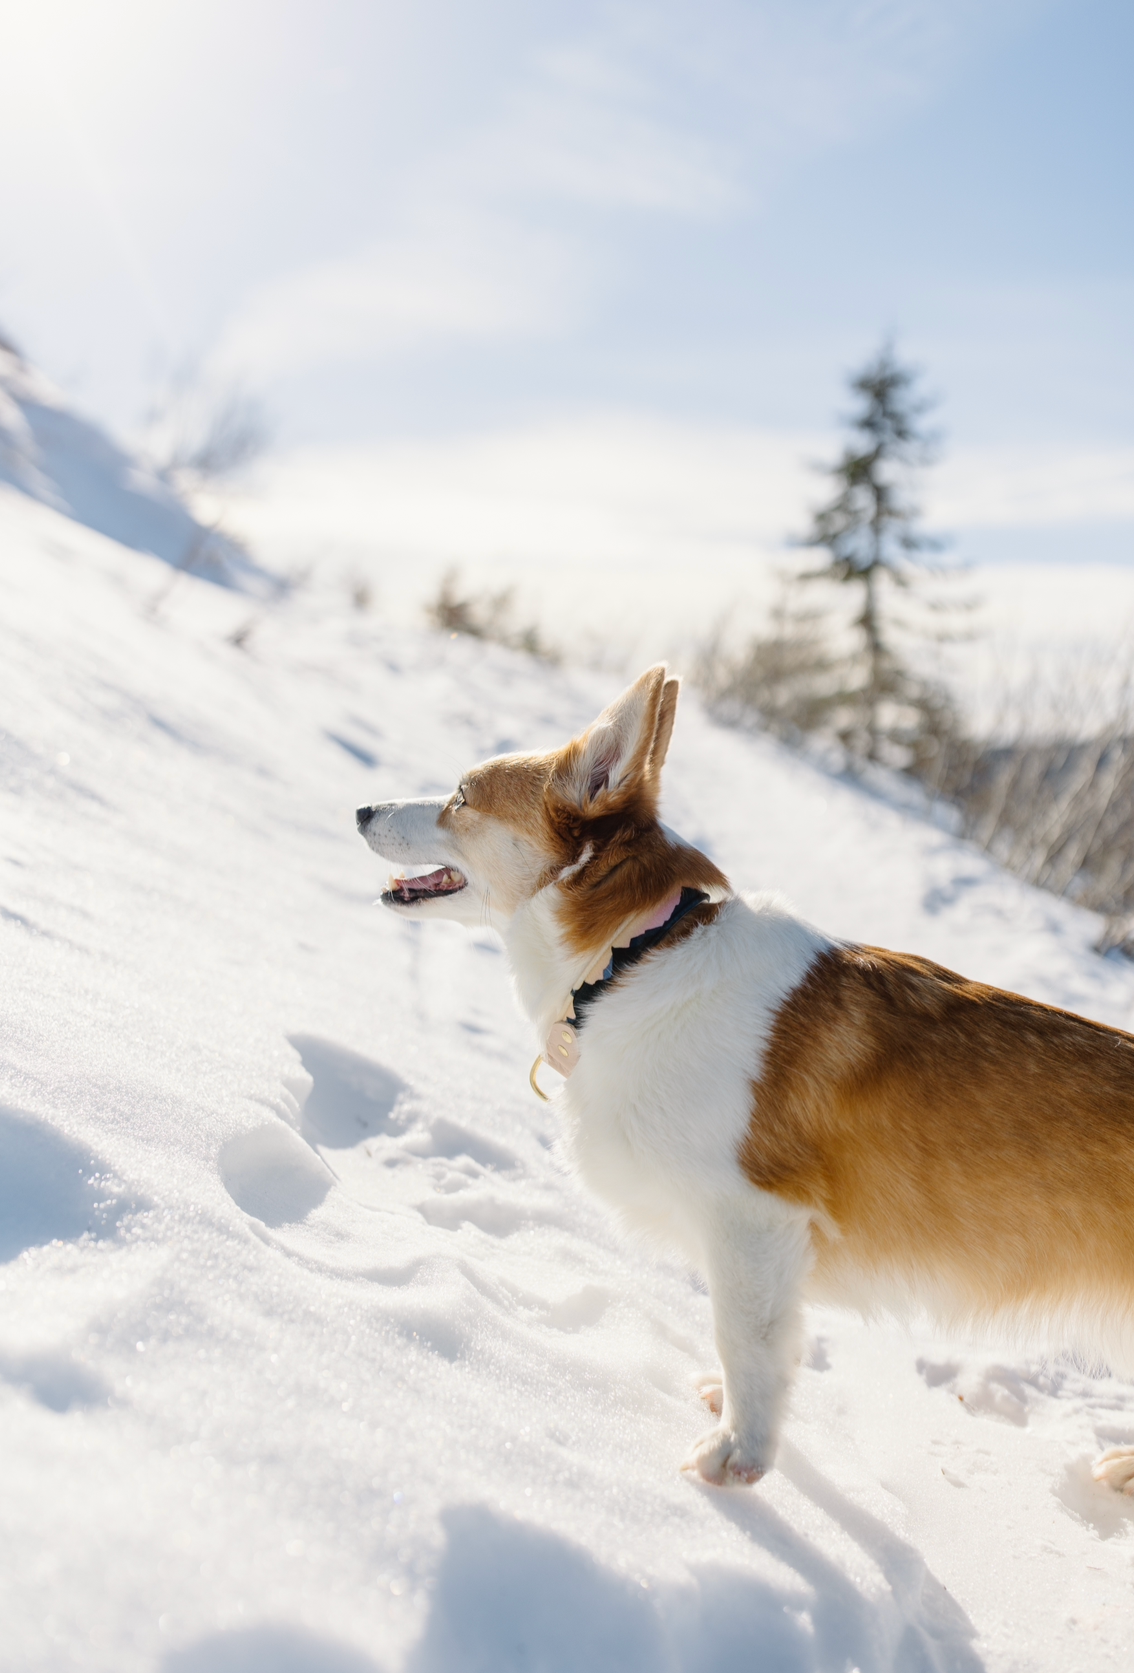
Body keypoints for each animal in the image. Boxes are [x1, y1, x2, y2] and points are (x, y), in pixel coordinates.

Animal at [359, 665, 1134, 1492]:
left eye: (462, 796)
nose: (361, 808)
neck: (636, 955)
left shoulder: (753, 1219)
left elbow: (747, 1342)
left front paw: (741, 1454)